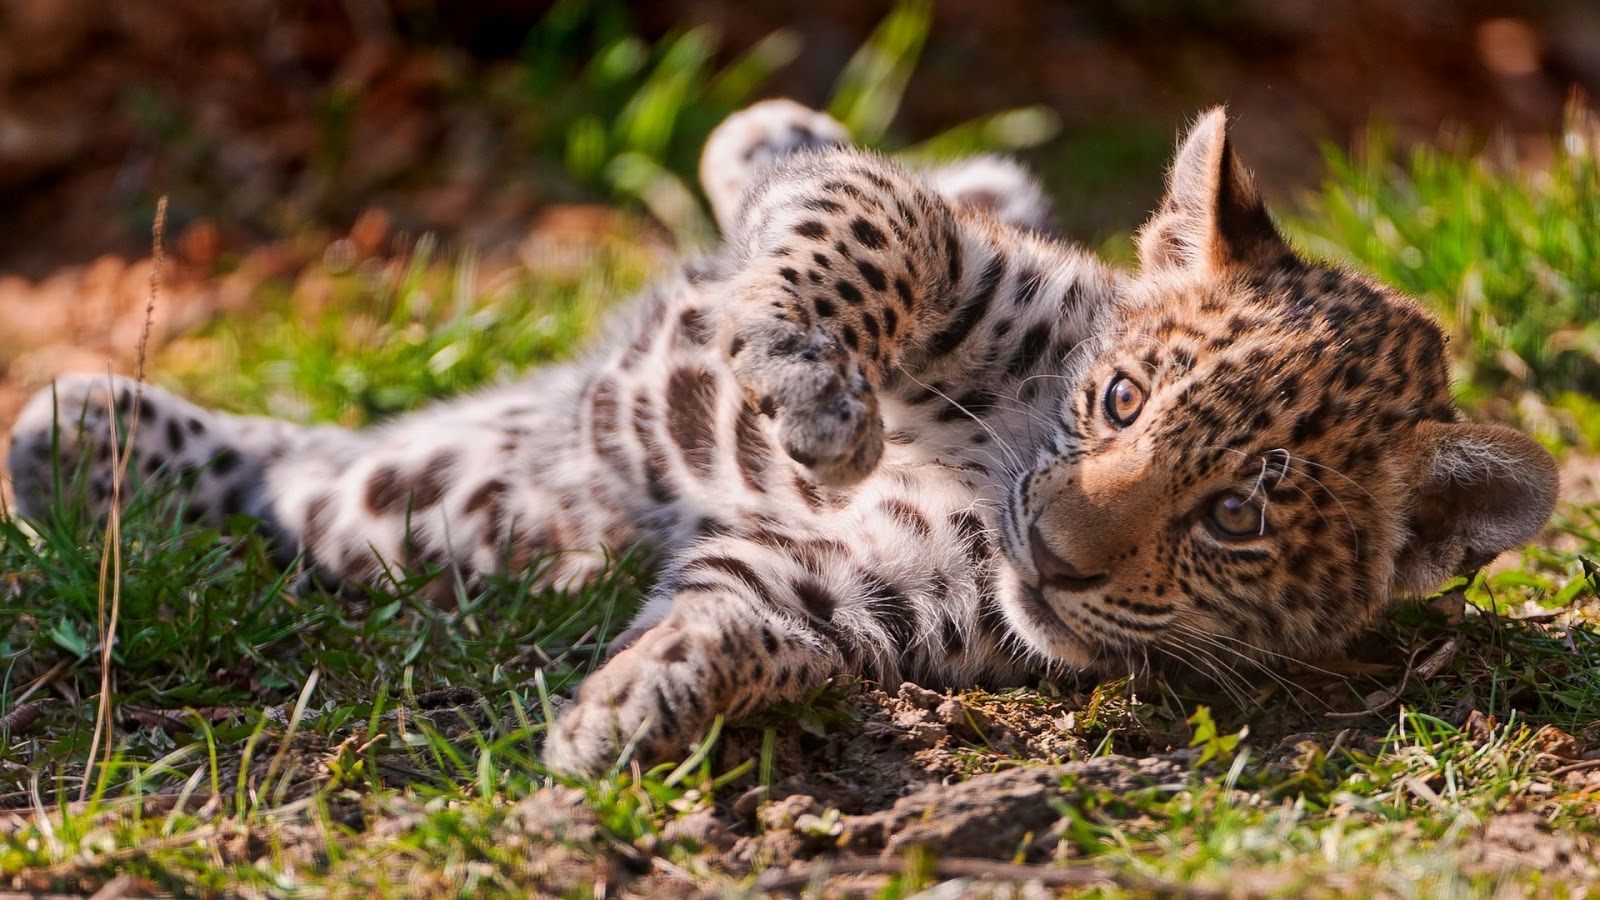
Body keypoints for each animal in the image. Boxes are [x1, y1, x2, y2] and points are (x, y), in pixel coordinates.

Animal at [6, 99, 1559, 776]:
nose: (1053, 551)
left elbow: (742, 618)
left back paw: (81, 436)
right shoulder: (966, 265)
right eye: (1124, 400)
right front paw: (813, 393)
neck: (994, 475)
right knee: (806, 157)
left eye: (1238, 514)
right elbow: (867, 220)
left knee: (301, 479)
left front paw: (637, 703)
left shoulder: (859, 592)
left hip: (439, 500)